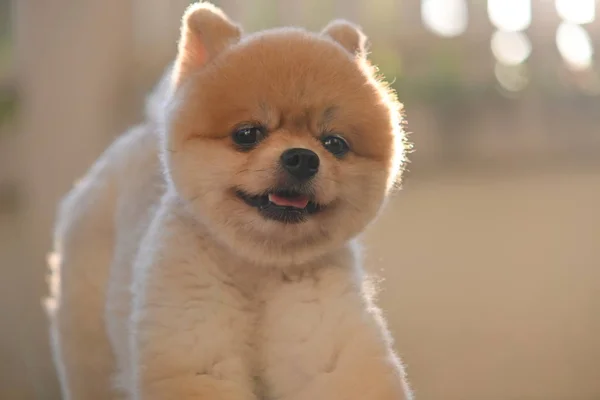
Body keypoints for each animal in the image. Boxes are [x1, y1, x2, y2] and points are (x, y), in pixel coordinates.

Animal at [47, 1, 412, 398]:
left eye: (334, 143)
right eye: (247, 134)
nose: (303, 158)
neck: (257, 271)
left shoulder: (328, 340)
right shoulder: (192, 343)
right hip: (88, 344)